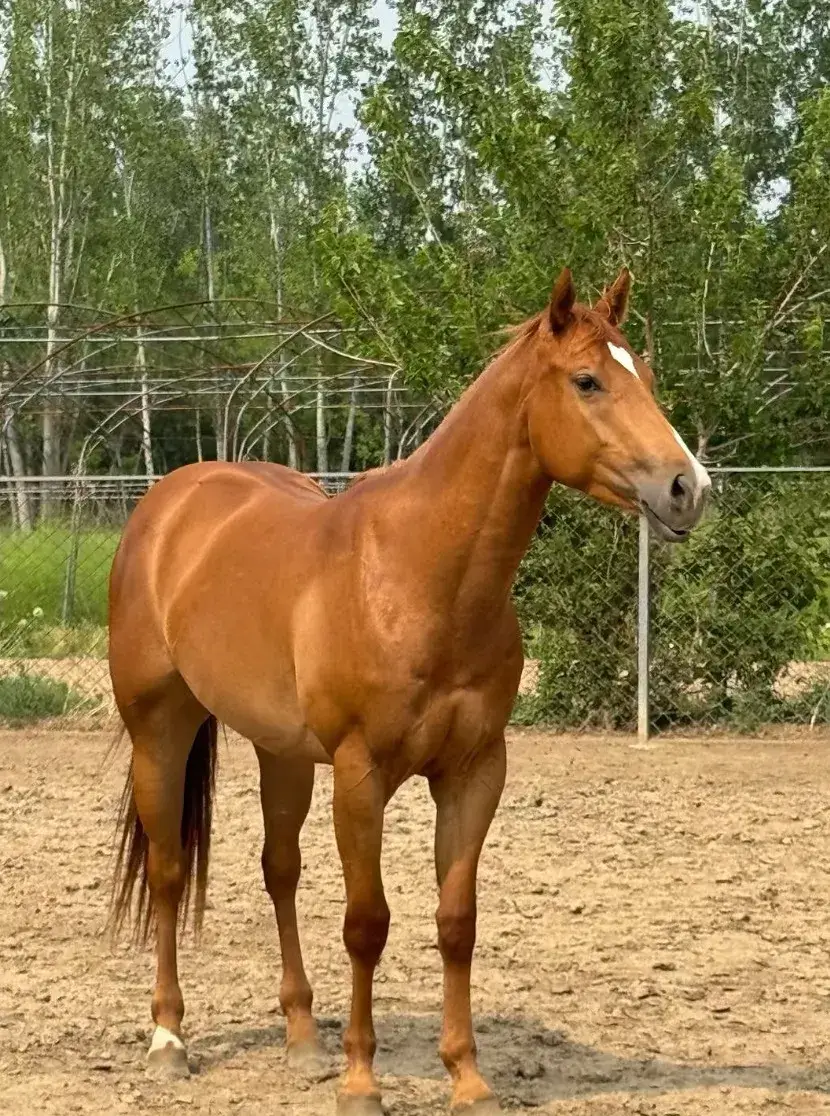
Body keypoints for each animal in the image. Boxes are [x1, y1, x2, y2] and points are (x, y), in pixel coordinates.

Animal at [108, 268, 710, 1114]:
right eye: (588, 381)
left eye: (647, 377)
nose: (688, 488)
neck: (420, 573)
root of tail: (170, 503)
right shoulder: (362, 776)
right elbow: (367, 923)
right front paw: (363, 1081)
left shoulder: (474, 770)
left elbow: (456, 920)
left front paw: (467, 1077)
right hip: (158, 729)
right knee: (167, 872)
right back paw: (169, 1040)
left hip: (280, 751)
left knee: (279, 870)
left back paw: (303, 1040)